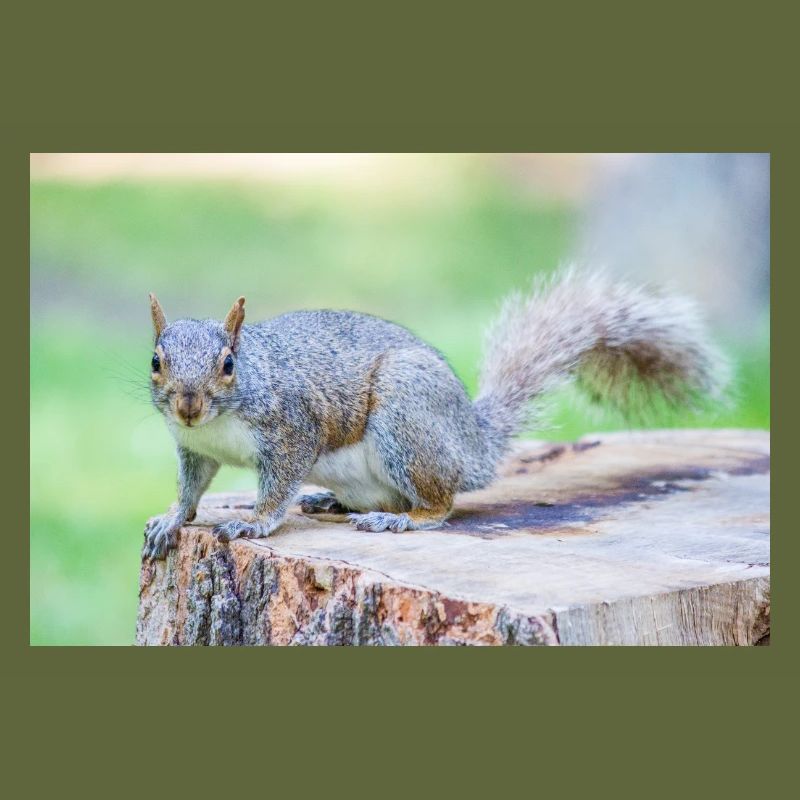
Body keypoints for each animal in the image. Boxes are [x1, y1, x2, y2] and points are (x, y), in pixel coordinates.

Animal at [142, 269, 728, 560]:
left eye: (228, 364)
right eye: (155, 360)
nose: (188, 405)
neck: (219, 423)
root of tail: (473, 443)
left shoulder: (293, 430)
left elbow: (277, 484)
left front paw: (254, 522)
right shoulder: (193, 449)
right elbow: (192, 490)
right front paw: (172, 519)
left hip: (407, 418)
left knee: (440, 504)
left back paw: (401, 518)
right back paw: (331, 501)